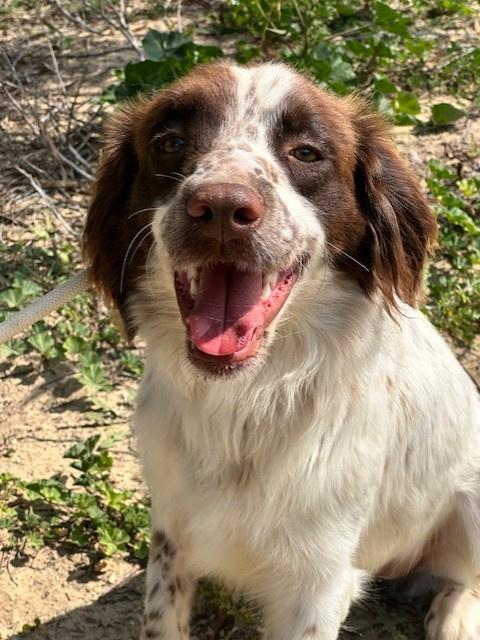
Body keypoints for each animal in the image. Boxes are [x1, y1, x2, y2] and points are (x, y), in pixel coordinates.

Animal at [83, 61, 480, 640]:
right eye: (169, 142)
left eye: (307, 153)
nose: (221, 207)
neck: (245, 403)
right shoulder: (171, 531)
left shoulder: (318, 582)